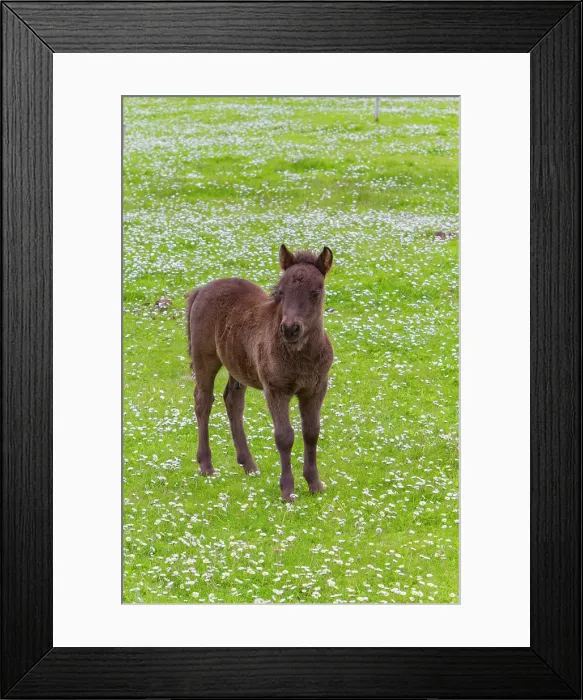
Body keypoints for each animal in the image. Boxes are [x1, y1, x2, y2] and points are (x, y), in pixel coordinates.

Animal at [186, 245, 334, 501]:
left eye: (316, 292)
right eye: (281, 292)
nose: (290, 329)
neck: (302, 355)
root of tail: (203, 289)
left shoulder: (316, 388)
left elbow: (311, 432)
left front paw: (315, 485)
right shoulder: (276, 389)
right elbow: (284, 436)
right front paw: (287, 491)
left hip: (237, 365)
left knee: (232, 401)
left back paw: (249, 465)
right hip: (205, 358)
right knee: (203, 401)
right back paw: (206, 465)